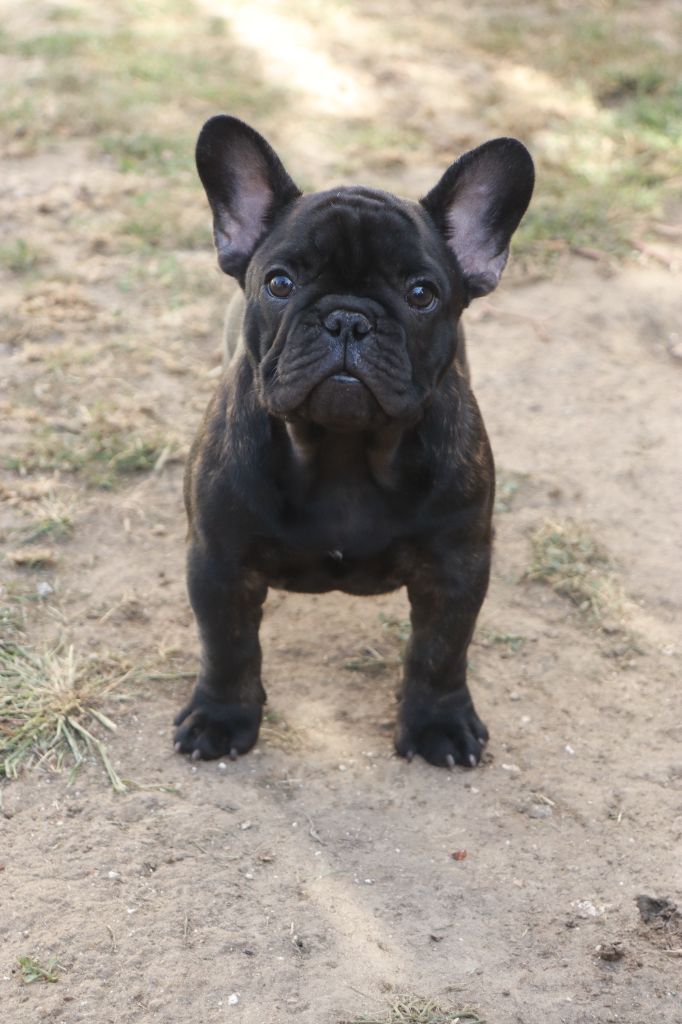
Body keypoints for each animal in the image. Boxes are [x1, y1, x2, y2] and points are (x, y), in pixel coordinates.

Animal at [173, 115, 534, 767]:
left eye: (421, 294)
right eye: (280, 283)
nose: (347, 318)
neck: (343, 451)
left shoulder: (457, 567)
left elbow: (440, 653)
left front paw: (438, 723)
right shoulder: (217, 562)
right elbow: (229, 647)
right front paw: (221, 716)